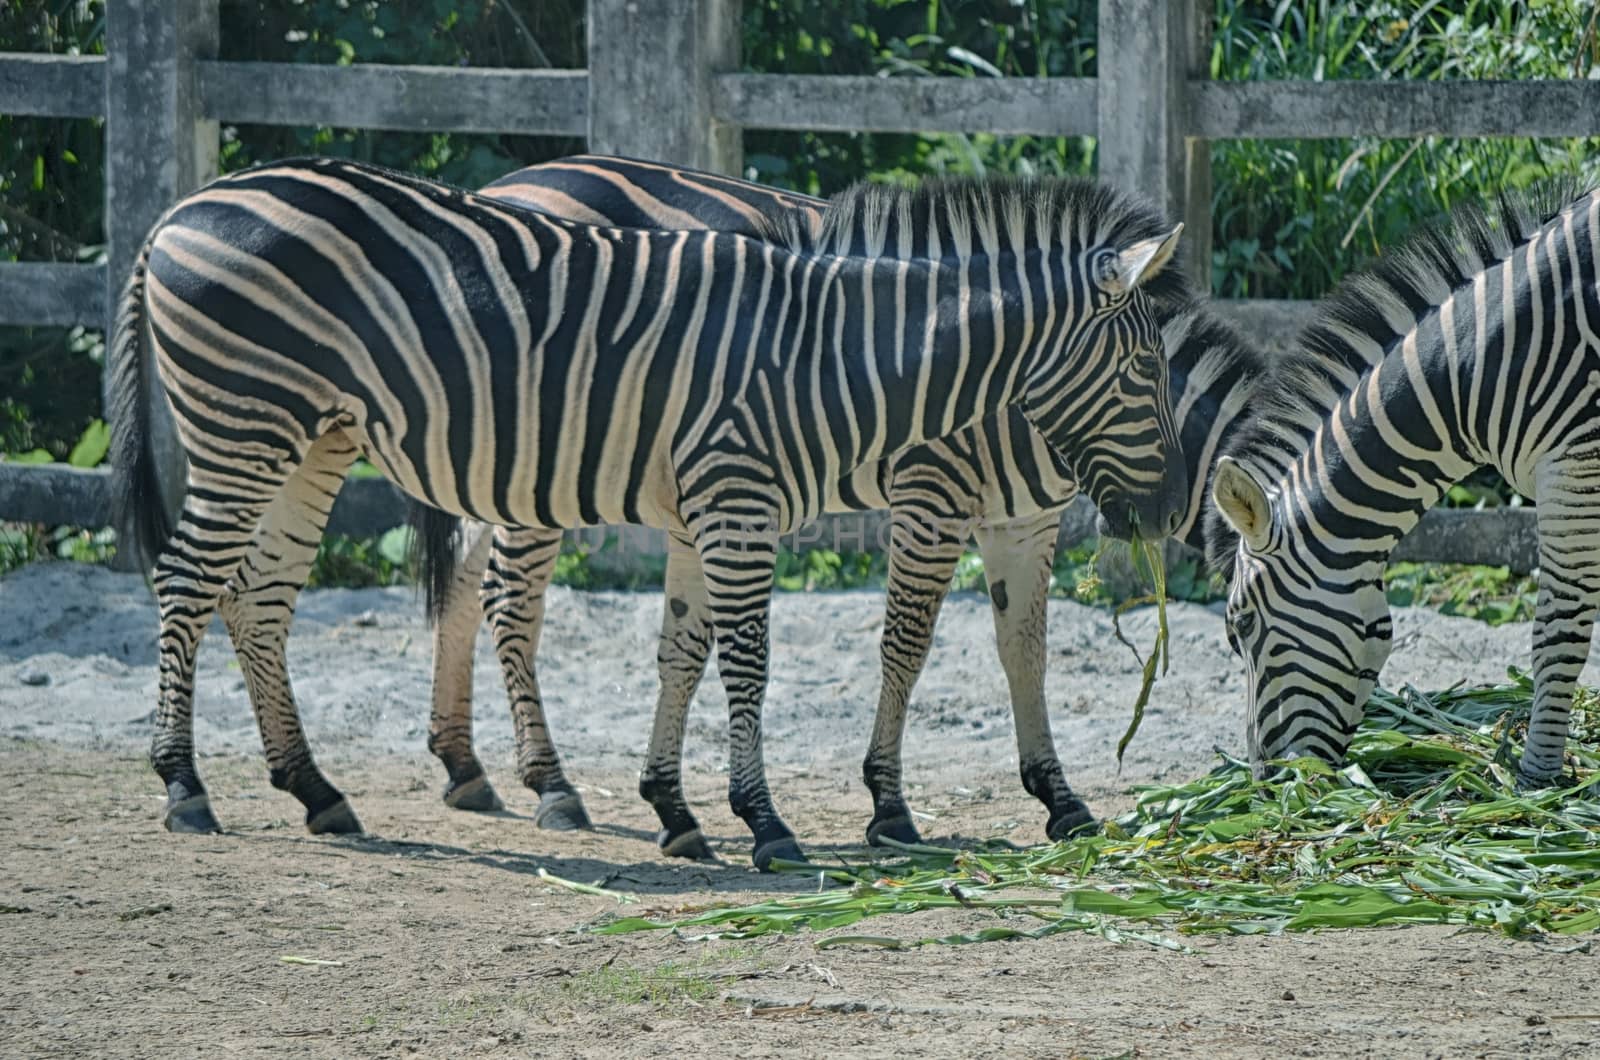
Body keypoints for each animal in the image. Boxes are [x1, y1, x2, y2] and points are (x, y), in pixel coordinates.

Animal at [109, 157, 1190, 871]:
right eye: (1144, 368)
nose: (1167, 507)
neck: (836, 355)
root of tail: (176, 212)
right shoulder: (768, 498)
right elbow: (766, 657)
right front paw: (774, 822)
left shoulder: (710, 503)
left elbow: (683, 648)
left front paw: (677, 810)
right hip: (246, 418)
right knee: (189, 580)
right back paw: (184, 785)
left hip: (315, 433)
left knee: (260, 597)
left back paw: (319, 791)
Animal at [1209, 180, 1600, 781]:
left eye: (1241, 628)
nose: (1267, 783)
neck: (1479, 368)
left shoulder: (1573, 464)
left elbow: (1558, 631)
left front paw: (1536, 777)